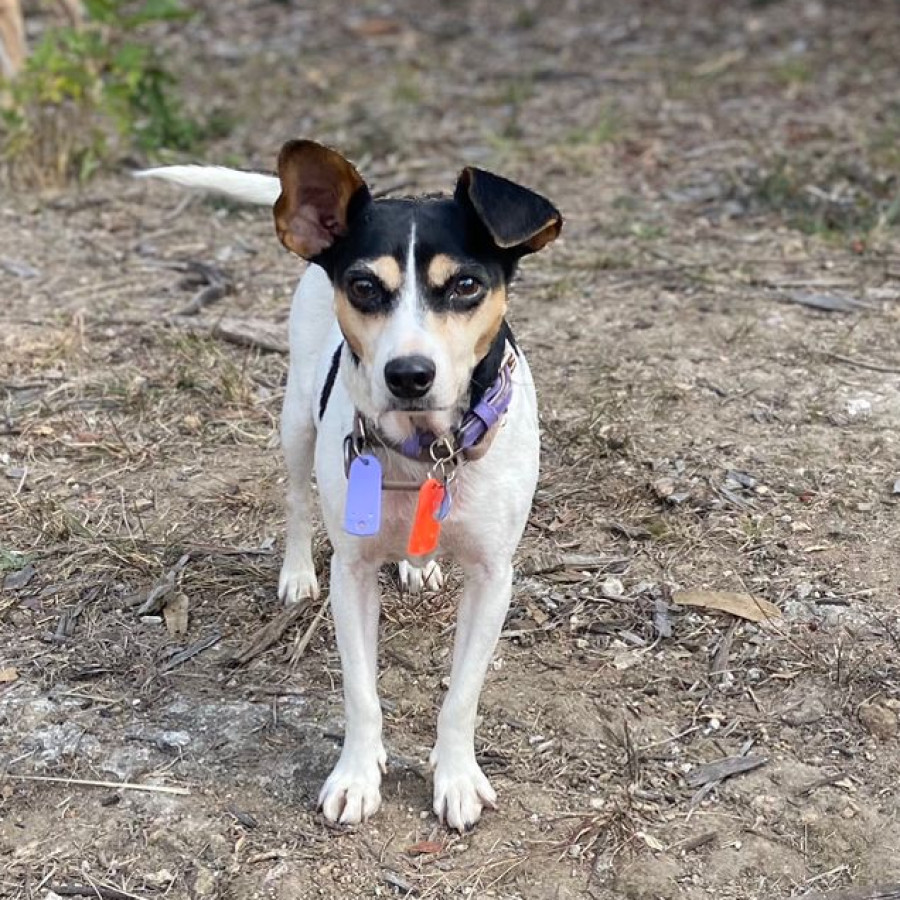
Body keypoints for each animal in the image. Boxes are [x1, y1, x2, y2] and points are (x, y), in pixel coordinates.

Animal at [139, 141, 564, 828]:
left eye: (466, 285)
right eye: (364, 286)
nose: (409, 373)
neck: (424, 451)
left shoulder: (494, 576)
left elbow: (462, 694)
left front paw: (456, 776)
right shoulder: (353, 572)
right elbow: (362, 691)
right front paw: (357, 776)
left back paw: (419, 565)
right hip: (294, 422)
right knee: (294, 498)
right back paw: (295, 573)